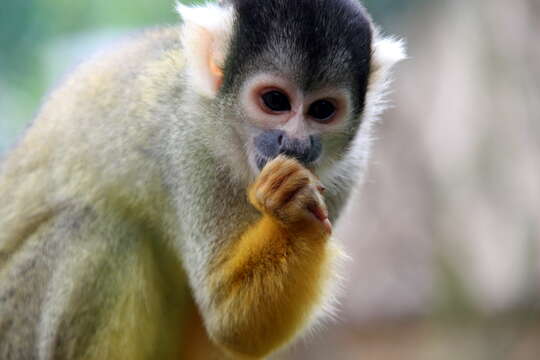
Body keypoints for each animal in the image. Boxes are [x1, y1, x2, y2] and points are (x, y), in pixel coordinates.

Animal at [0, 0, 404, 360]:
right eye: (275, 101)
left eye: (322, 110)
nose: (295, 144)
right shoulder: (187, 144)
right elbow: (230, 321)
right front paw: (290, 214)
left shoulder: (348, 167)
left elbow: (234, 332)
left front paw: (292, 214)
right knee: (96, 230)